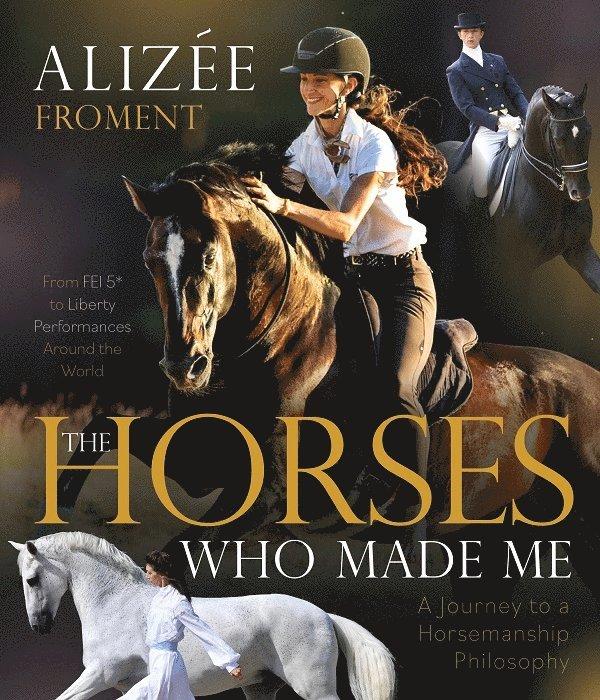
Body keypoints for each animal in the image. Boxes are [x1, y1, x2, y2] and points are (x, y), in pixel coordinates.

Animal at [9, 532, 396, 700]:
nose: (38, 626)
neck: (117, 604)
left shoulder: (100, 675)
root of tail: (324, 615)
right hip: (259, 689)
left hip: (314, 688)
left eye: (32, 579)